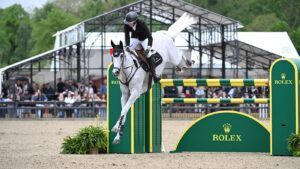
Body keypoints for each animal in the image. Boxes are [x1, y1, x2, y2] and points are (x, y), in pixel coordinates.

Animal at [110, 12, 197, 144]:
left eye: (121, 55)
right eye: (113, 57)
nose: (115, 72)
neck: (127, 70)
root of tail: (165, 34)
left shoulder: (135, 93)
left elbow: (123, 111)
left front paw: (115, 128)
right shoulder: (125, 95)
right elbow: (123, 112)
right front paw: (117, 136)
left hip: (173, 56)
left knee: (181, 54)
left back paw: (190, 61)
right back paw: (181, 67)